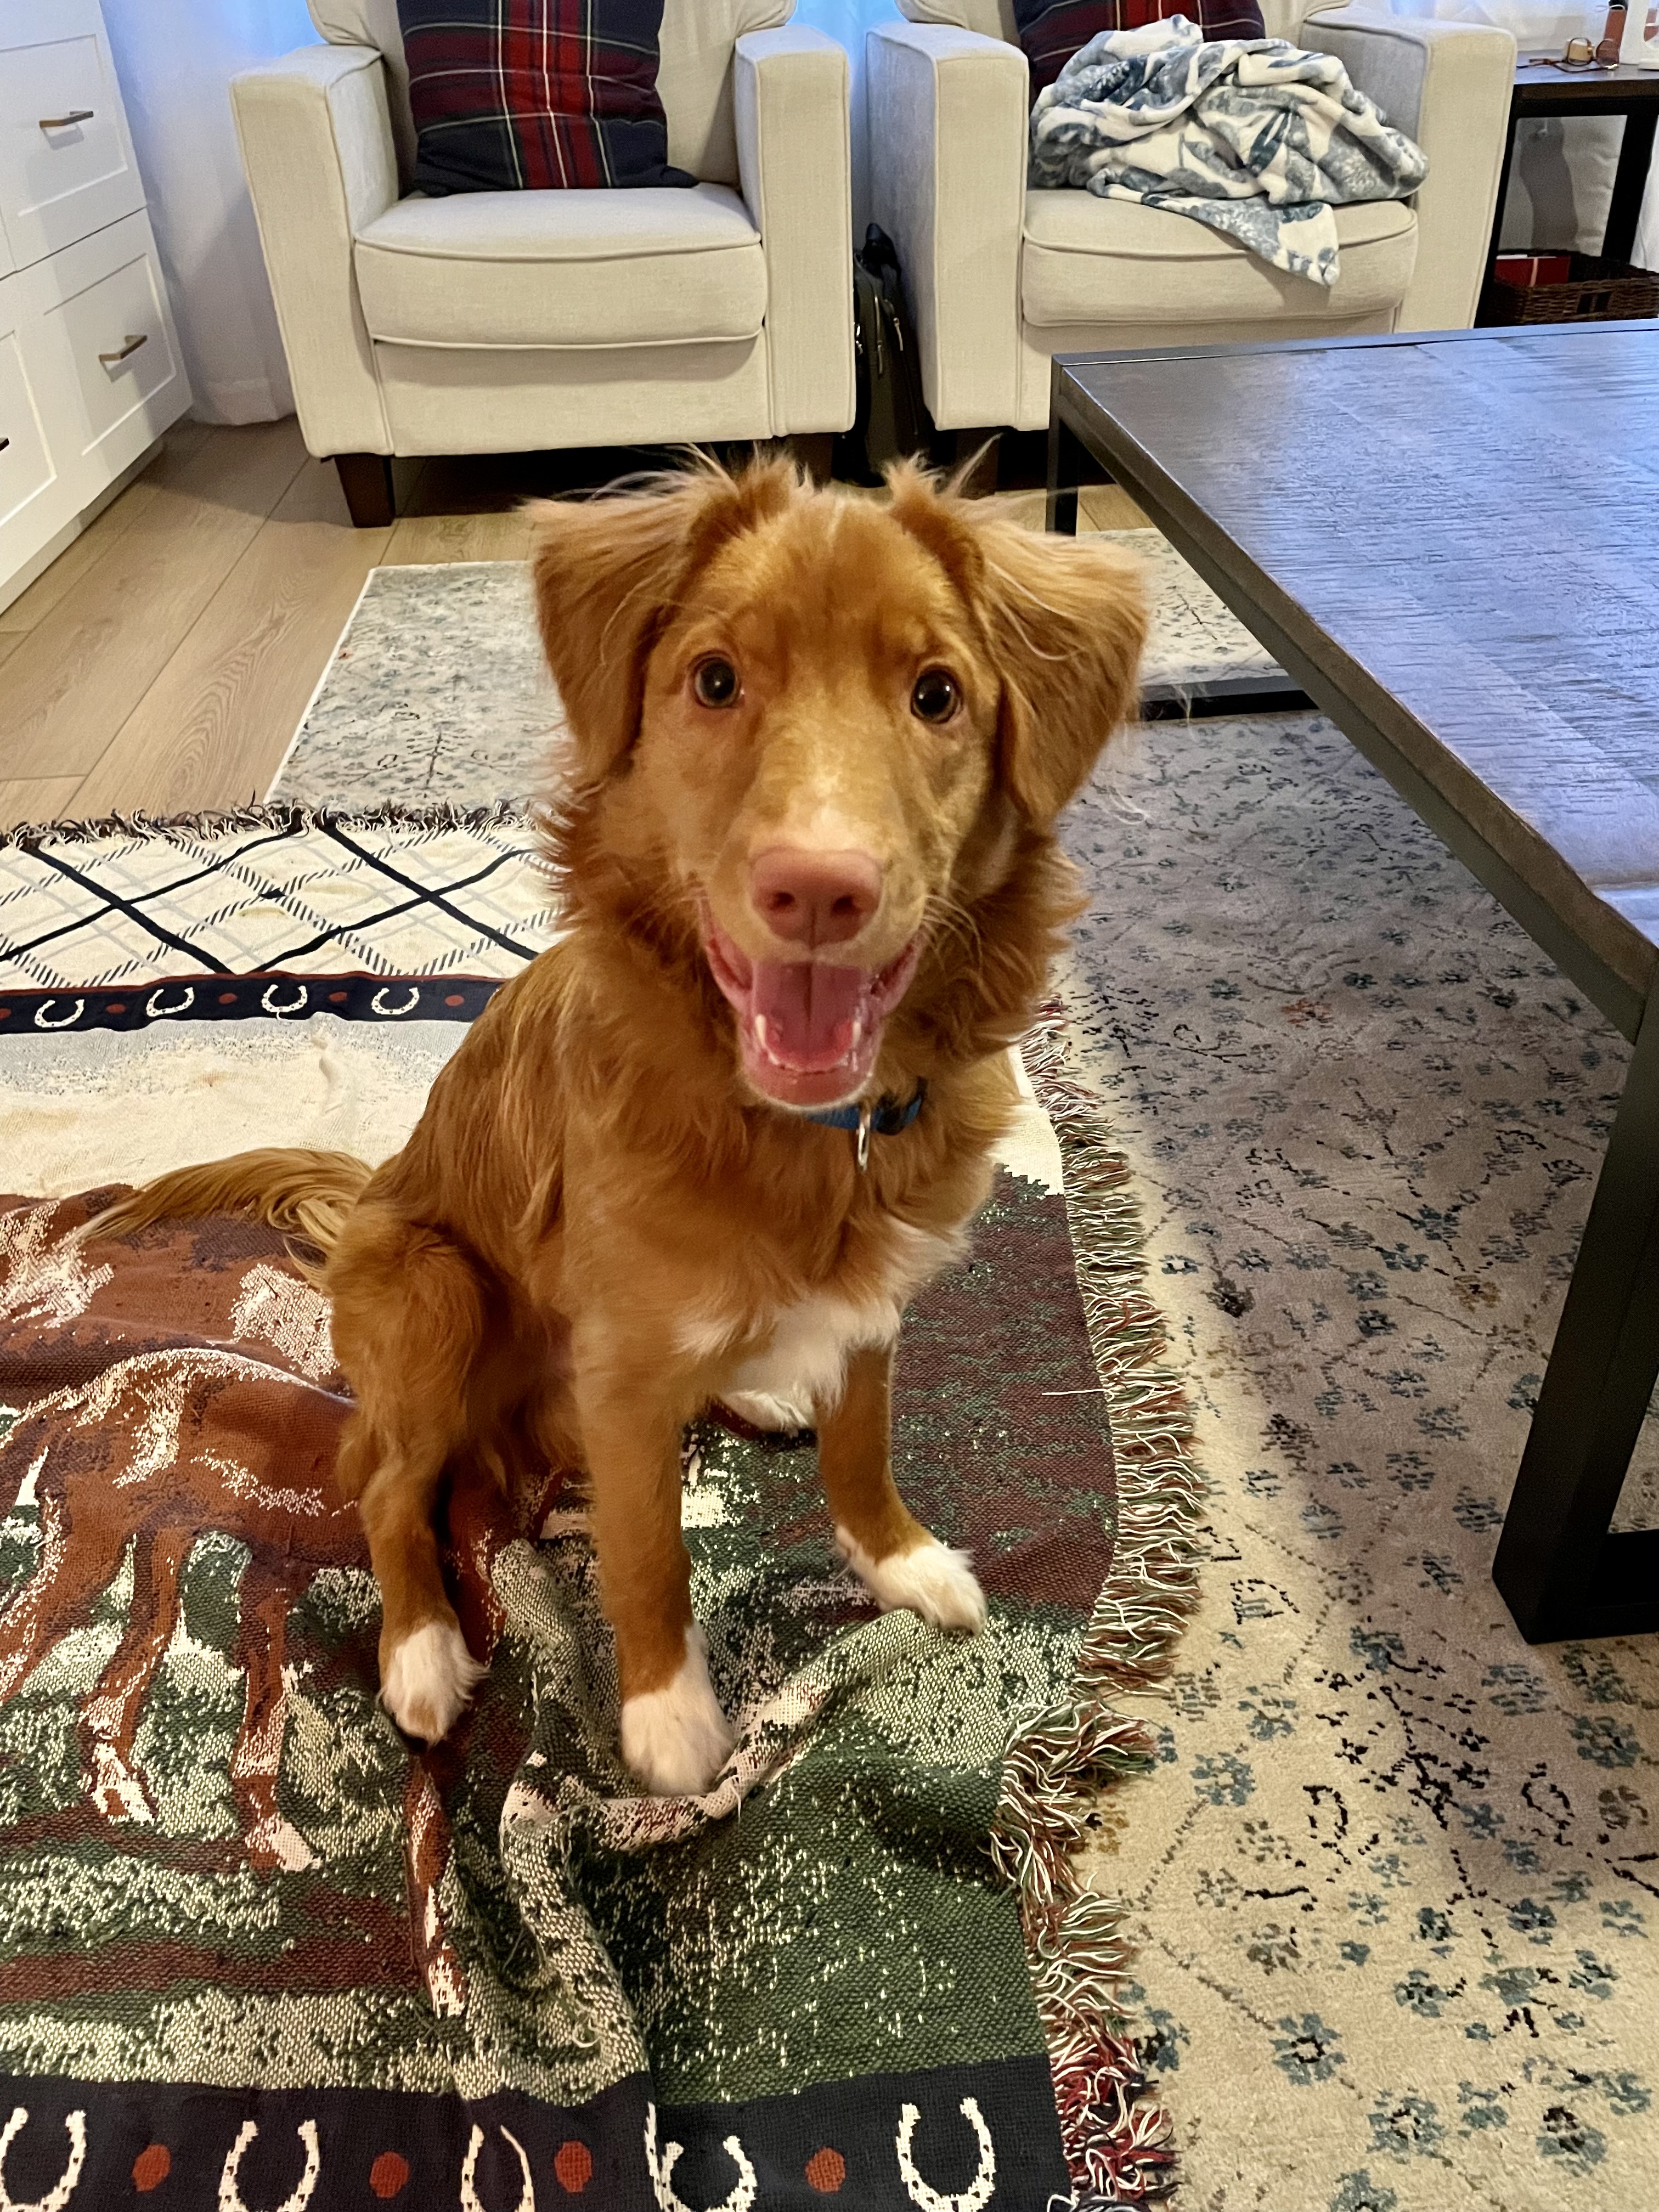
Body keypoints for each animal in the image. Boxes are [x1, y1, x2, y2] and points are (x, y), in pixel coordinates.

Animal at [94, 459, 1145, 1797]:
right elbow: (649, 1551)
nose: (819, 889)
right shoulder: (626, 1376)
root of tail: (366, 1194)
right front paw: (666, 1718)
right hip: (434, 1291)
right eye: (715, 680)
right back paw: (421, 1648)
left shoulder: (871, 1305)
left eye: (936, 695)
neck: (800, 1130)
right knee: (384, 1484)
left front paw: (899, 1559)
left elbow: (863, 1448)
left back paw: (764, 1394)